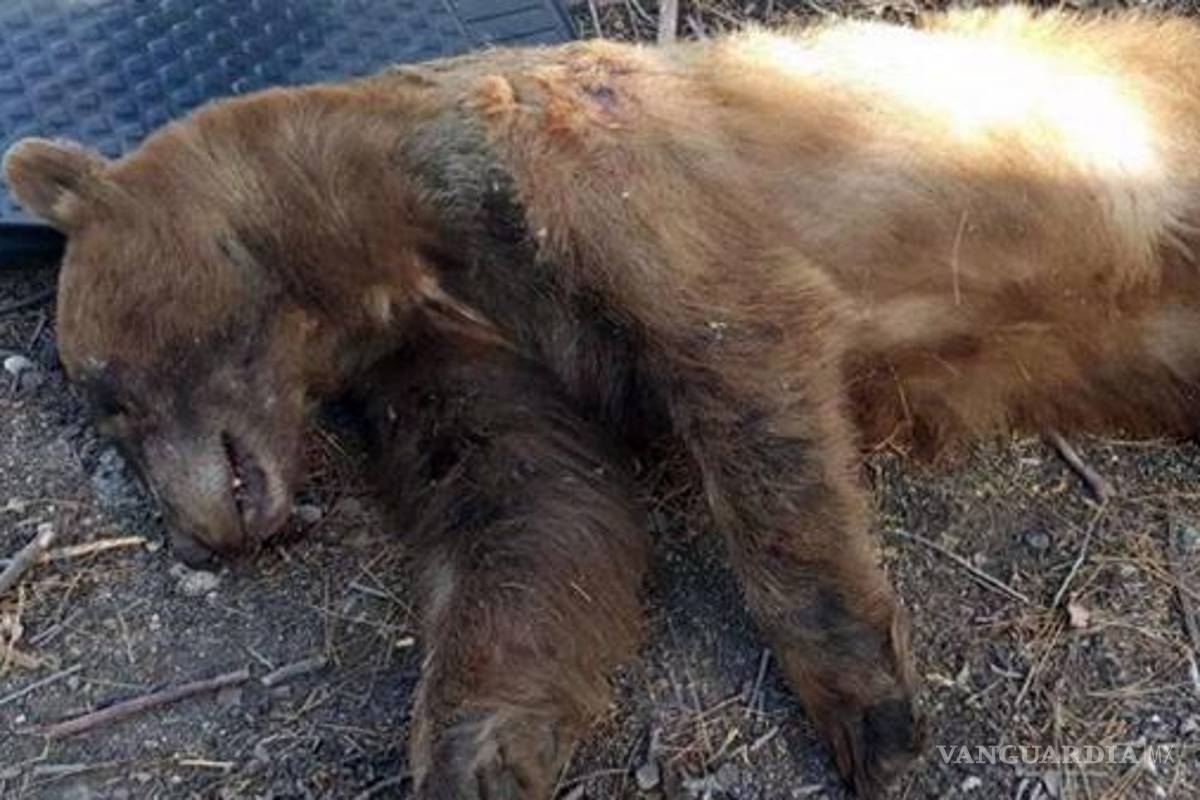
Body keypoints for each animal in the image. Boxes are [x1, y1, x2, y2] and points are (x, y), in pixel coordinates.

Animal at [10, 5, 1200, 796]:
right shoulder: (465, 339)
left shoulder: (583, 165)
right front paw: (480, 747)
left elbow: (741, 349)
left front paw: (872, 711)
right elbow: (531, 504)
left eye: (112, 391)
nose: (199, 528)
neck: (385, 243)